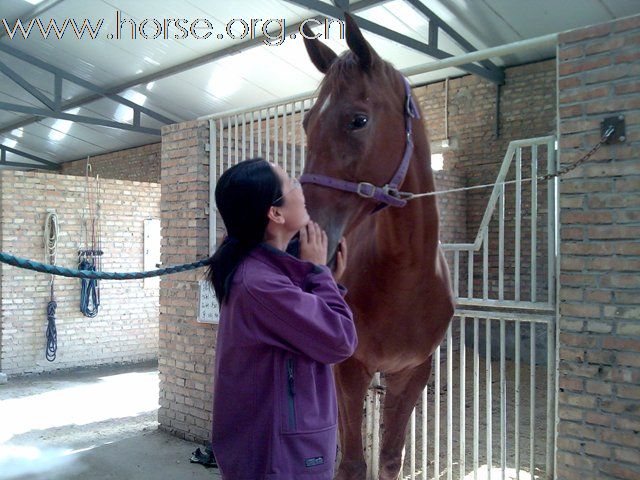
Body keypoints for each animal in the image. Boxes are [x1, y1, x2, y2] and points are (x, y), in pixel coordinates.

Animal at [300, 13, 456, 478]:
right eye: (306, 124)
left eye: (358, 120)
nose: (302, 238)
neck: (405, 276)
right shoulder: (350, 368)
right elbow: (352, 463)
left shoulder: (412, 373)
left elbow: (389, 459)